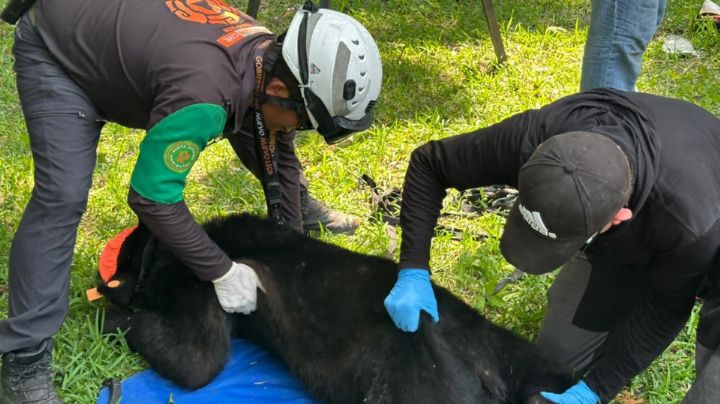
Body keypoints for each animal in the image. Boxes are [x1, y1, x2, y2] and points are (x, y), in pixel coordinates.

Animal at [98, 213, 574, 403]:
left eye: (122, 259)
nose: (104, 285)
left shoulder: (196, 289)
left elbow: (196, 362)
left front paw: (111, 318)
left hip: (412, 388)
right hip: (513, 351)